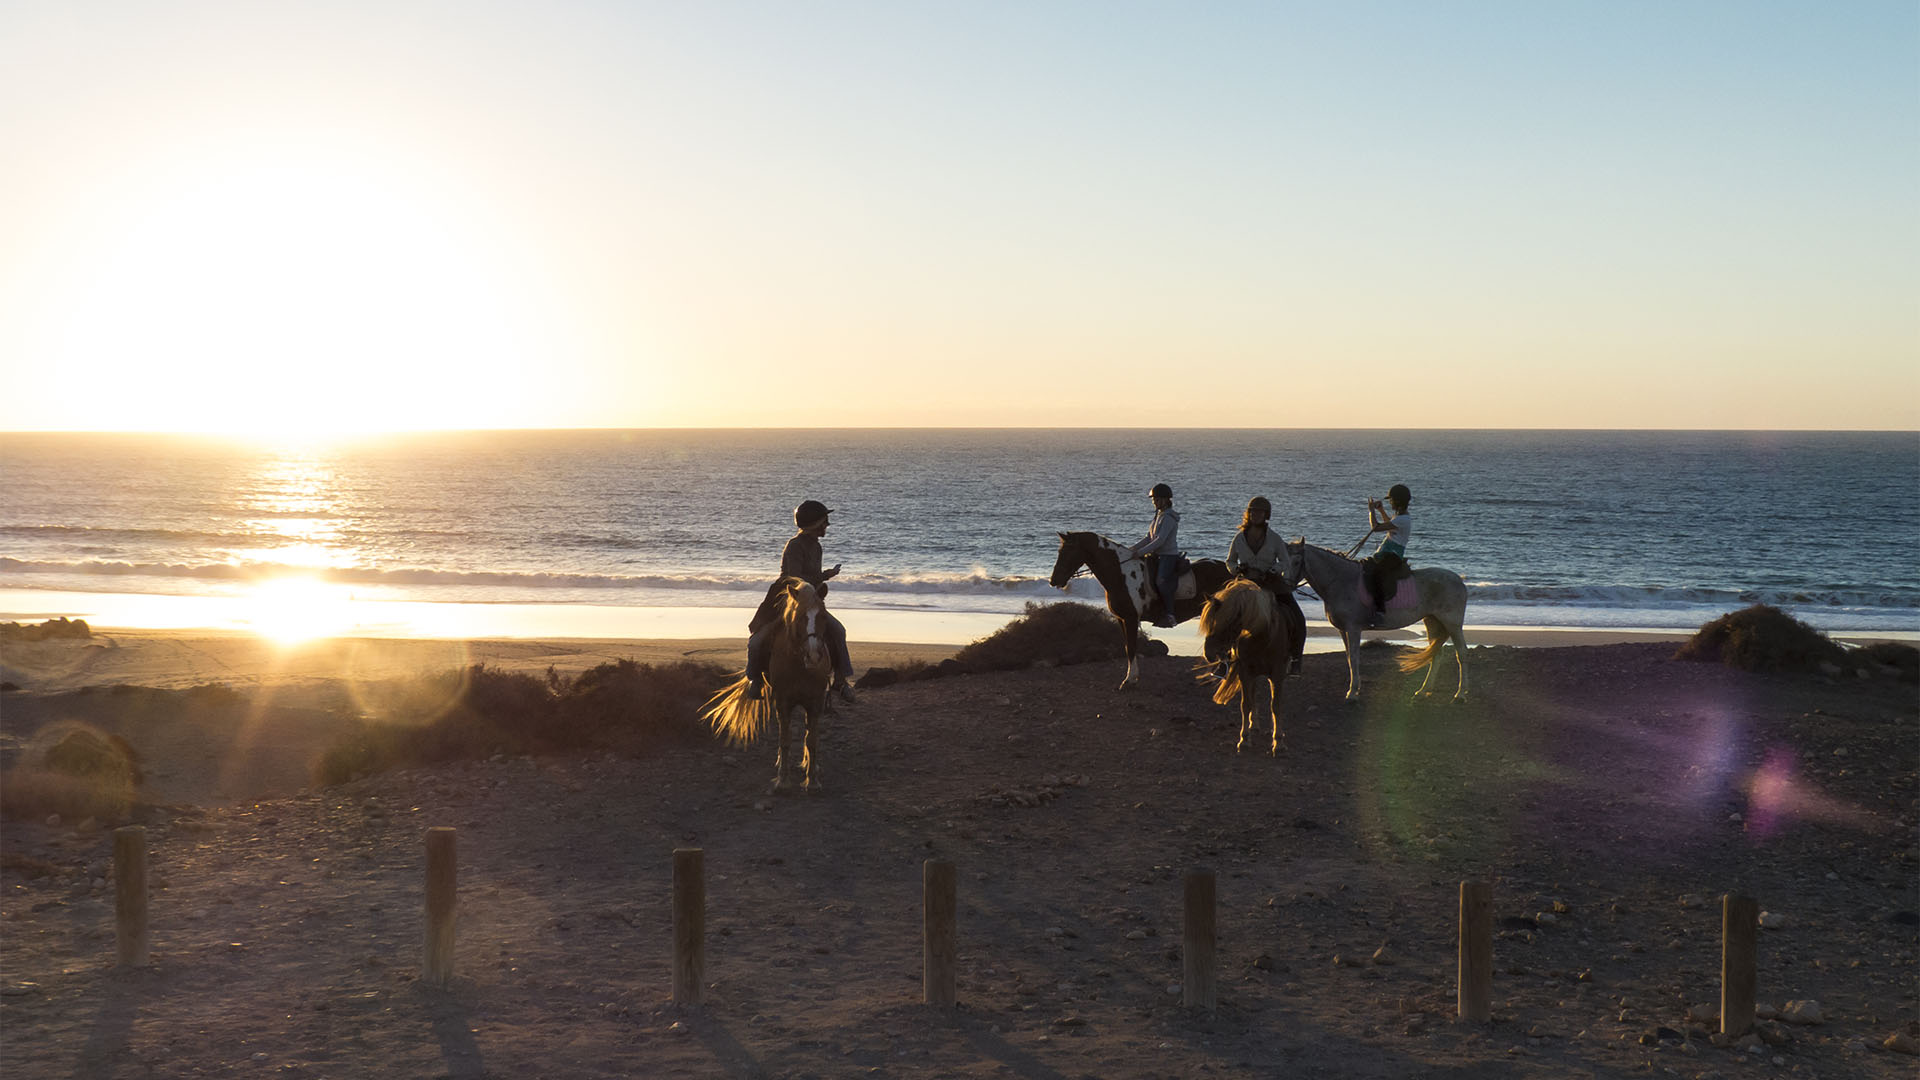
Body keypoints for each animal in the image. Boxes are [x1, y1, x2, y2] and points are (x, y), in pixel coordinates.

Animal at [1052, 526, 1228, 684]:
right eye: (1059, 552)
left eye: (1067, 552)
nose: (1054, 581)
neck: (1121, 574)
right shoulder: (1121, 619)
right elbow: (1127, 647)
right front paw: (1132, 676)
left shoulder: (1130, 618)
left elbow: (1131, 647)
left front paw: (1129, 680)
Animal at [1190, 580, 1297, 749]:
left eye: (1227, 623)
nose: (1209, 653)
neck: (1261, 637)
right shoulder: (1245, 671)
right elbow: (1245, 704)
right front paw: (1244, 739)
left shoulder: (1277, 673)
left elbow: (1276, 705)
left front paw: (1279, 741)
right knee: (1252, 695)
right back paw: (1254, 726)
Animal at [1290, 538, 1466, 707]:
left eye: (1296, 562)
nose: (1286, 584)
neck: (1340, 581)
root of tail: (1460, 580)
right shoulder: (1343, 630)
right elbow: (1349, 658)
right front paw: (1355, 689)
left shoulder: (1353, 628)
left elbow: (1354, 658)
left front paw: (1352, 694)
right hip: (1432, 621)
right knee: (1436, 654)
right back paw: (1422, 692)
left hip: (1452, 623)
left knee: (1461, 653)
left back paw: (1460, 695)